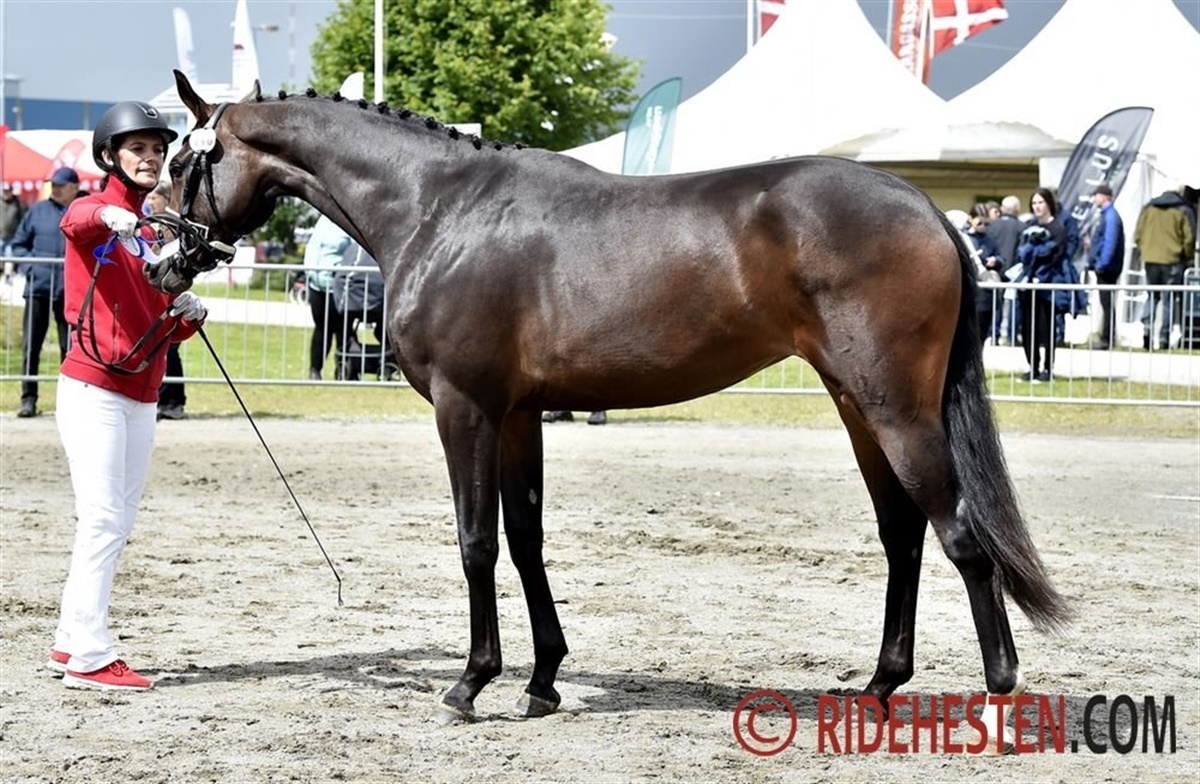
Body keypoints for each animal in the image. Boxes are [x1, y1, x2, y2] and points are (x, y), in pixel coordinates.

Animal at [159, 70, 1071, 728]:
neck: (440, 209)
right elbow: (524, 541)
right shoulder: (518, 415)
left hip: (895, 410)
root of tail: (925, 205)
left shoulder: (465, 408)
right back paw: (880, 686)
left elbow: (475, 544)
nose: (164, 257)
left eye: (179, 163)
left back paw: (997, 694)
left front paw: (470, 684)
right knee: (903, 535)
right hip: (857, 405)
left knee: (962, 536)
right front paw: (541, 681)